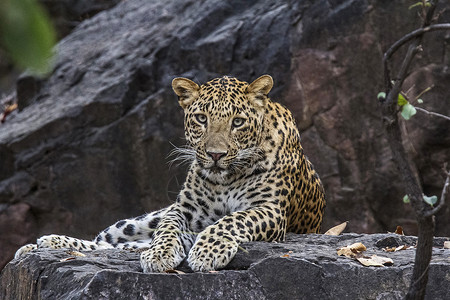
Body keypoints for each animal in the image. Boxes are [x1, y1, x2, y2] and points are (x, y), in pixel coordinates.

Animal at [14, 74, 326, 272]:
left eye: (237, 122)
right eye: (201, 118)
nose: (215, 155)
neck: (225, 180)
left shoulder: (270, 209)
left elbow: (231, 220)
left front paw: (206, 252)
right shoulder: (183, 210)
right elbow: (167, 229)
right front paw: (160, 254)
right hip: (135, 222)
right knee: (108, 241)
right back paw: (45, 244)